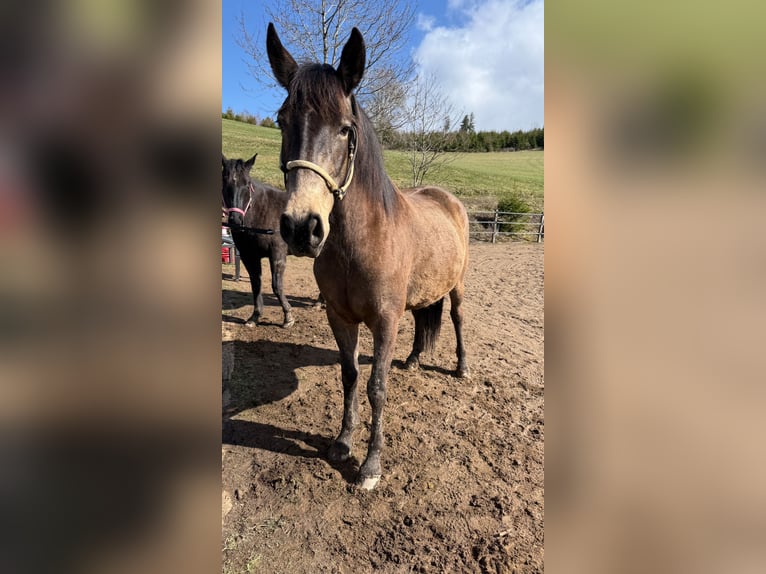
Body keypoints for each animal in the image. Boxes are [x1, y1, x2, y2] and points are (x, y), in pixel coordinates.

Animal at [222, 153, 294, 328]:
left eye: (247, 185)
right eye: (225, 183)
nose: (235, 220)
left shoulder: (277, 253)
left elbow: (277, 286)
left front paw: (288, 317)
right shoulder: (249, 256)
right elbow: (256, 284)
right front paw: (255, 316)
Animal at [266, 23, 470, 489]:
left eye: (345, 129)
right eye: (282, 121)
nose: (302, 227)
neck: (360, 242)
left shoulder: (384, 320)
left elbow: (377, 386)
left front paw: (371, 465)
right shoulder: (340, 317)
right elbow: (350, 376)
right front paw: (343, 443)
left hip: (458, 286)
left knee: (455, 318)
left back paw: (462, 367)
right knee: (424, 318)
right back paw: (413, 360)